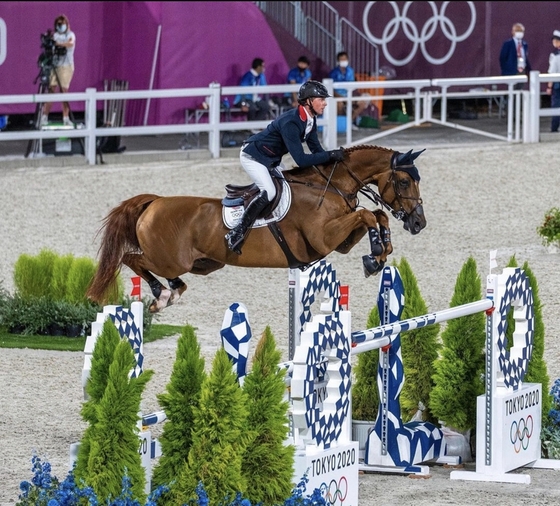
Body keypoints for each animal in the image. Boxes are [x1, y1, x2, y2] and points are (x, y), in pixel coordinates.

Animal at [87, 144, 426, 312]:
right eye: (404, 181)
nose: (419, 223)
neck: (330, 186)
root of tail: (154, 202)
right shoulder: (324, 237)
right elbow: (367, 216)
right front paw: (376, 255)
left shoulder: (339, 241)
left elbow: (376, 216)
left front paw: (379, 254)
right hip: (170, 258)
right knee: (131, 259)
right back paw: (162, 295)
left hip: (202, 264)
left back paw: (173, 291)